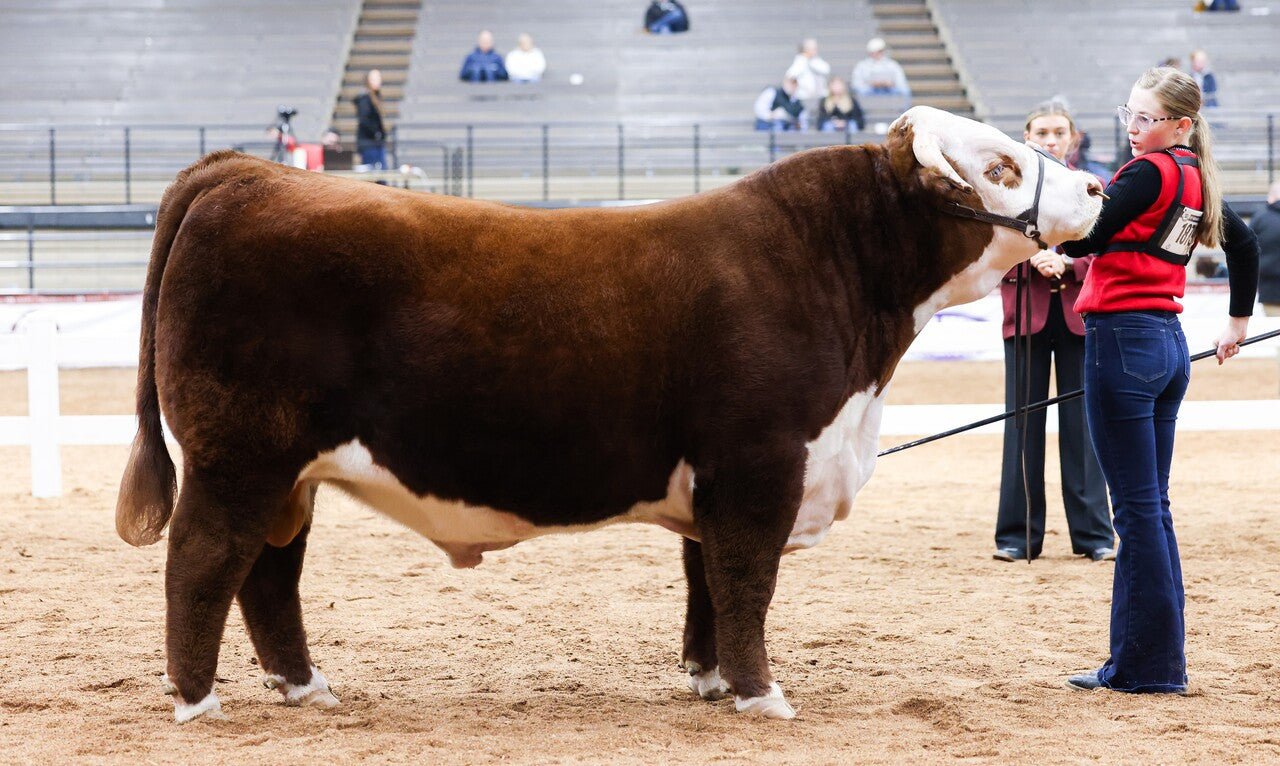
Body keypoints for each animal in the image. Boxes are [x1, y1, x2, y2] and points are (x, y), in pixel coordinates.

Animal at [115, 106, 1104, 723]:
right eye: (999, 167)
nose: (1097, 189)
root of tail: (244, 173)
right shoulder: (761, 466)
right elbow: (747, 583)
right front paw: (764, 697)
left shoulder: (719, 478)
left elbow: (707, 582)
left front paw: (711, 682)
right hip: (240, 456)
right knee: (202, 562)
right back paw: (197, 701)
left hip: (290, 473)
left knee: (267, 576)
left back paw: (306, 687)